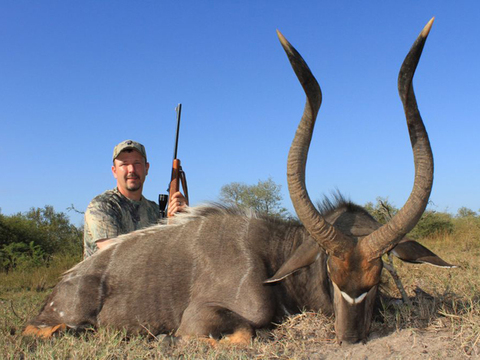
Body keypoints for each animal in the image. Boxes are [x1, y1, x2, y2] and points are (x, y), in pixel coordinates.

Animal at [22, 18, 452, 344]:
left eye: (377, 276)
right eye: (330, 272)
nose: (350, 338)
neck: (275, 254)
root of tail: (65, 282)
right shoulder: (204, 316)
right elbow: (246, 332)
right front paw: (168, 339)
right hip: (61, 317)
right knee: (38, 329)